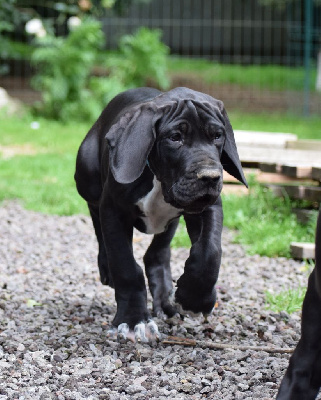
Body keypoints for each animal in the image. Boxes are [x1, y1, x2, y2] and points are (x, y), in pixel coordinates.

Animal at [75, 86, 248, 340]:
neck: (158, 178)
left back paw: (166, 304)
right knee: (96, 217)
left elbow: (210, 251)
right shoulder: (113, 209)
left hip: (170, 221)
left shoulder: (208, 207)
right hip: (87, 178)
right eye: (175, 138)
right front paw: (132, 319)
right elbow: (125, 265)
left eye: (217, 136)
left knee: (156, 253)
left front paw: (195, 298)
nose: (210, 177)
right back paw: (106, 267)